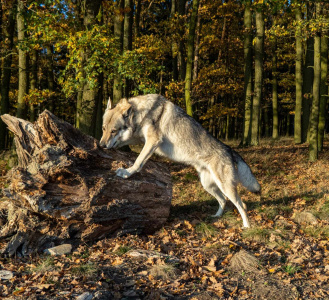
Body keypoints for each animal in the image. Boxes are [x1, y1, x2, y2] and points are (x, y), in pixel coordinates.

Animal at [98, 94, 260, 227]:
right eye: (103, 128)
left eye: (113, 131)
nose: (101, 146)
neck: (141, 114)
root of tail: (229, 149)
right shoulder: (140, 139)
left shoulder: (152, 141)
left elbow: (138, 161)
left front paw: (127, 172)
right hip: (208, 185)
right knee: (223, 200)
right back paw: (216, 217)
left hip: (225, 187)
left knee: (242, 205)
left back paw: (247, 227)